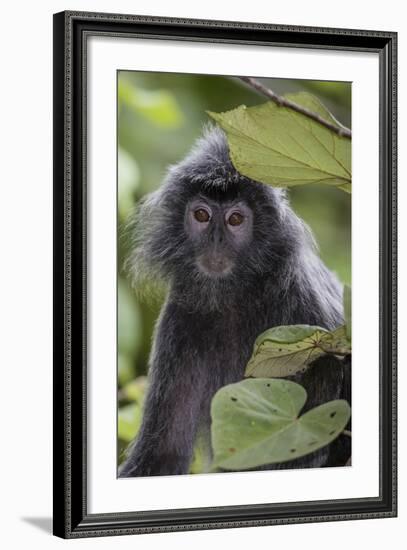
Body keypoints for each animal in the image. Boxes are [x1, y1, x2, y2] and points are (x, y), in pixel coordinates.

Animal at [118, 126, 350, 478]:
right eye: (202, 215)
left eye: (235, 220)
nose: (216, 241)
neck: (234, 298)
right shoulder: (179, 318)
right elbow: (162, 454)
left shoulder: (311, 312)